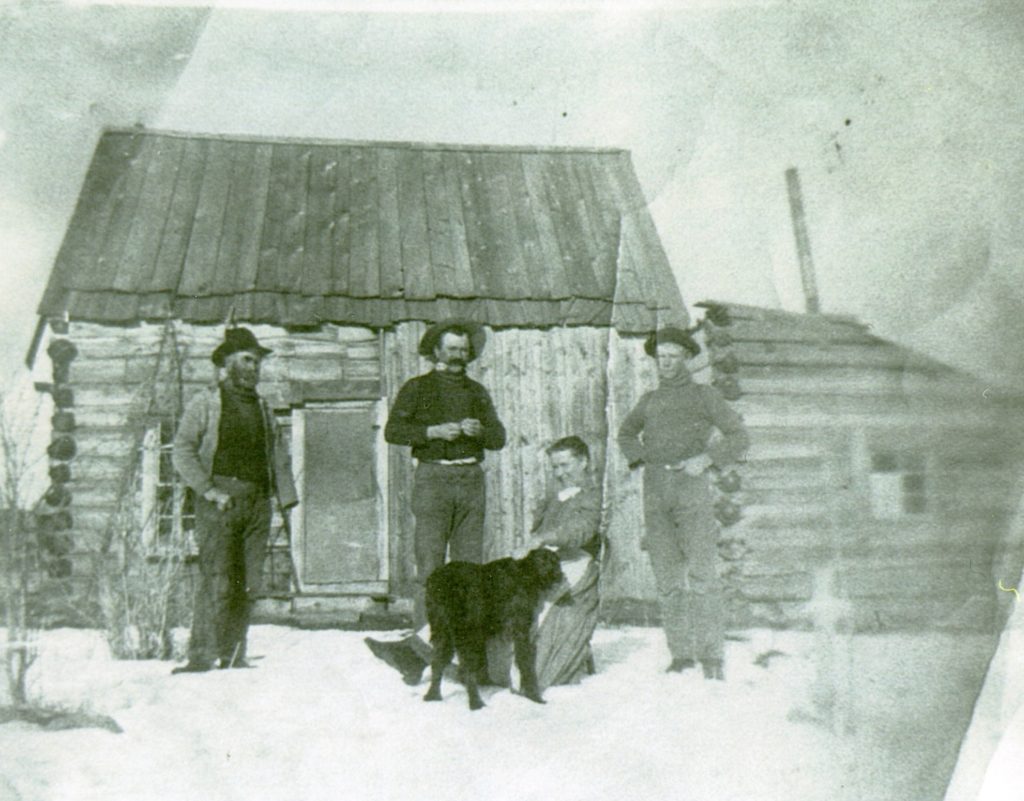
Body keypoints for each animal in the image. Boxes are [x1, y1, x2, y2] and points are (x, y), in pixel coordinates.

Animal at [423, 549, 569, 712]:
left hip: (443, 629)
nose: (560, 575)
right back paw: (476, 703)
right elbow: (526, 664)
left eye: (555, 561)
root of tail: (438, 579)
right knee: (466, 669)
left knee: (437, 662)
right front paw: (534, 697)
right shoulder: (521, 630)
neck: (524, 574)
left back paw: (433, 695)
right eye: (543, 561)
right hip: (467, 633)